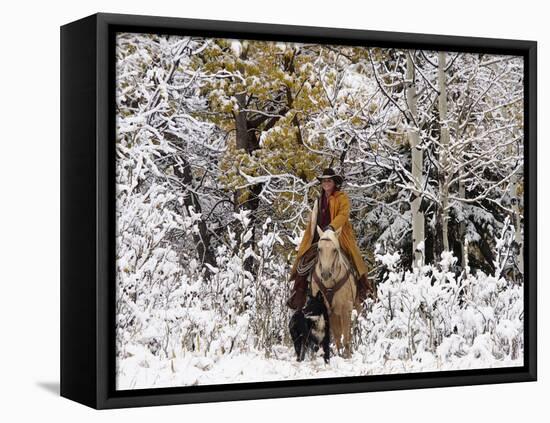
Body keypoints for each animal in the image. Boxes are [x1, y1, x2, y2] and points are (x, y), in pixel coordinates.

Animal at [312, 227, 360, 360]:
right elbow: (336, 336)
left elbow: (346, 337)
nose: (325, 274)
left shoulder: (346, 308)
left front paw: (347, 356)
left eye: (334, 250)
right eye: (319, 249)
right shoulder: (328, 311)